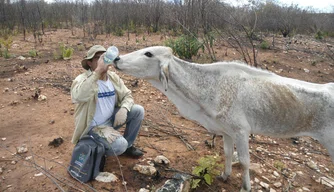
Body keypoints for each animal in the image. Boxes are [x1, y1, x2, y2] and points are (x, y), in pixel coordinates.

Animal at [114, 45, 334, 191]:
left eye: (148, 53)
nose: (116, 59)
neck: (212, 87)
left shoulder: (241, 131)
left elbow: (244, 162)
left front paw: (245, 187)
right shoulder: (227, 131)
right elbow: (228, 154)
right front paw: (225, 175)